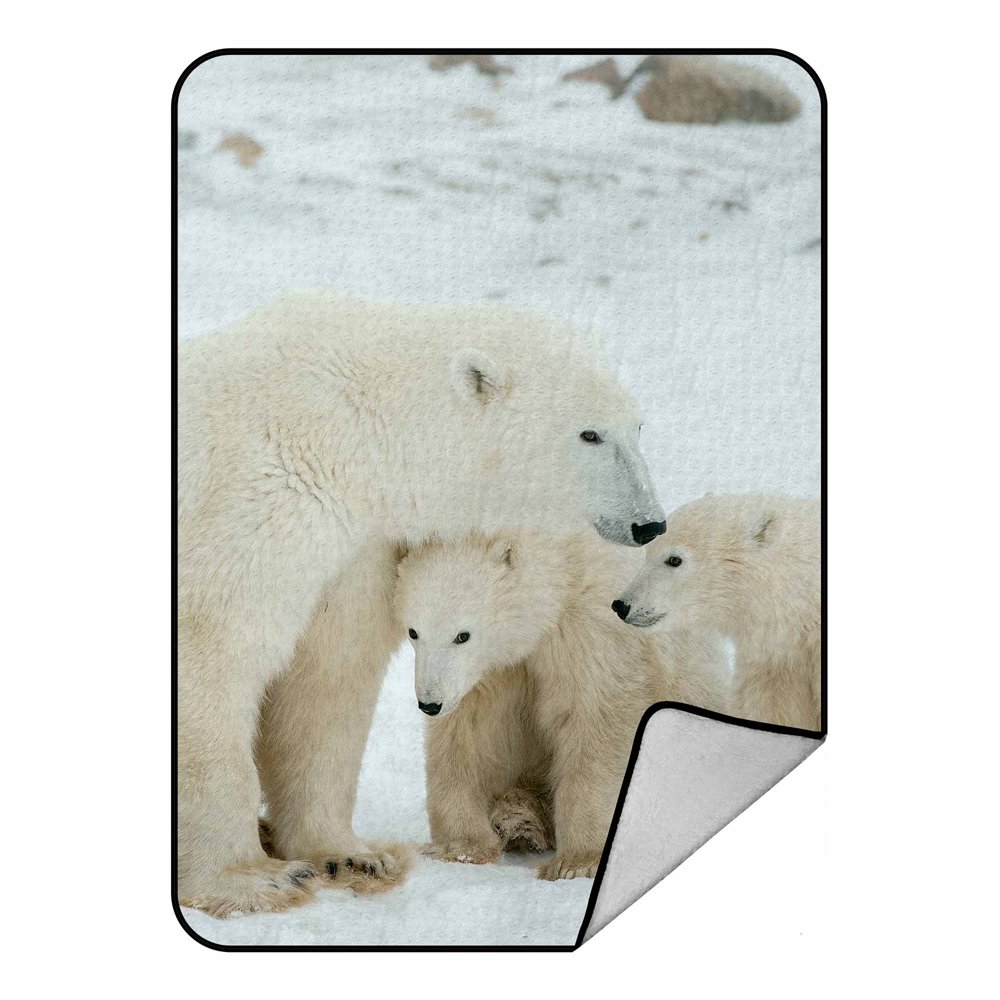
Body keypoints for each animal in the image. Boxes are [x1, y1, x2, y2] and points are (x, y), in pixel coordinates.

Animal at [177, 291, 666, 916]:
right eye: (589, 434)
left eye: (638, 426)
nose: (650, 523)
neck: (358, 430)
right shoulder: (257, 499)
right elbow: (213, 652)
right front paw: (250, 880)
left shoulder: (360, 547)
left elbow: (328, 676)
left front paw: (349, 856)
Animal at [393, 529, 729, 881]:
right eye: (413, 631)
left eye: (463, 635)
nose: (430, 703)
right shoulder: (490, 672)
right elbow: (468, 733)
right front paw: (461, 847)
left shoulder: (590, 635)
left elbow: (595, 725)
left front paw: (577, 861)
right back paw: (519, 821)